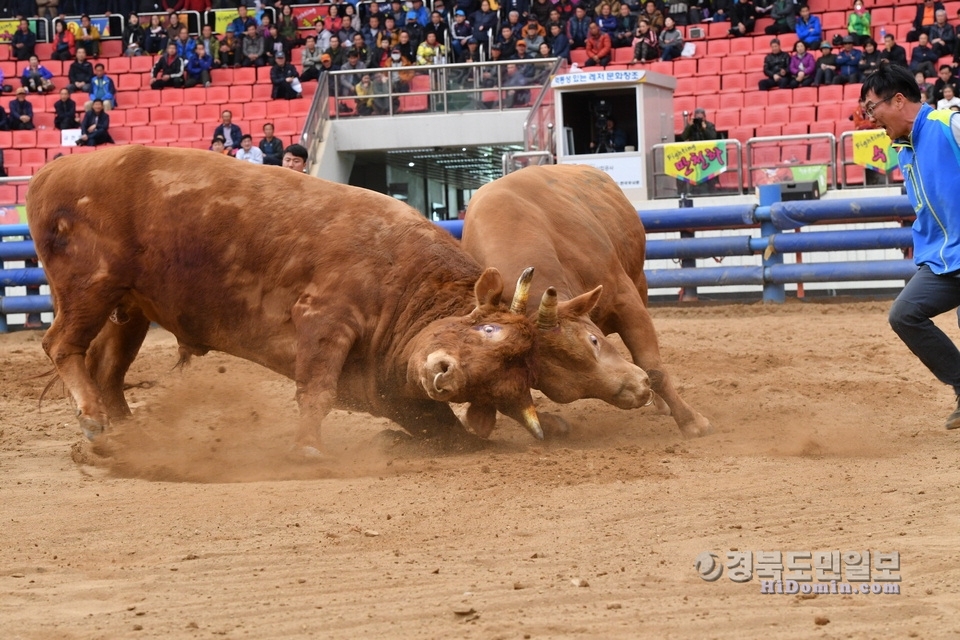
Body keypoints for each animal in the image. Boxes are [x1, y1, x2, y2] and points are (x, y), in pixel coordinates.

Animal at [26, 147, 548, 452]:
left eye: (493, 385)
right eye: (487, 328)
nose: (445, 374)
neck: (404, 275)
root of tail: (48, 173)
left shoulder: (387, 386)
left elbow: (442, 428)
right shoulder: (325, 317)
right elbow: (316, 391)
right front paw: (308, 449)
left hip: (128, 307)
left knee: (108, 370)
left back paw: (128, 435)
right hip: (90, 286)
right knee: (62, 346)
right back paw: (94, 420)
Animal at [462, 162, 708, 438]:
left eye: (593, 341)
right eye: (564, 392)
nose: (639, 391)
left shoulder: (626, 300)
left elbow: (652, 366)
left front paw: (691, 421)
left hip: (639, 280)